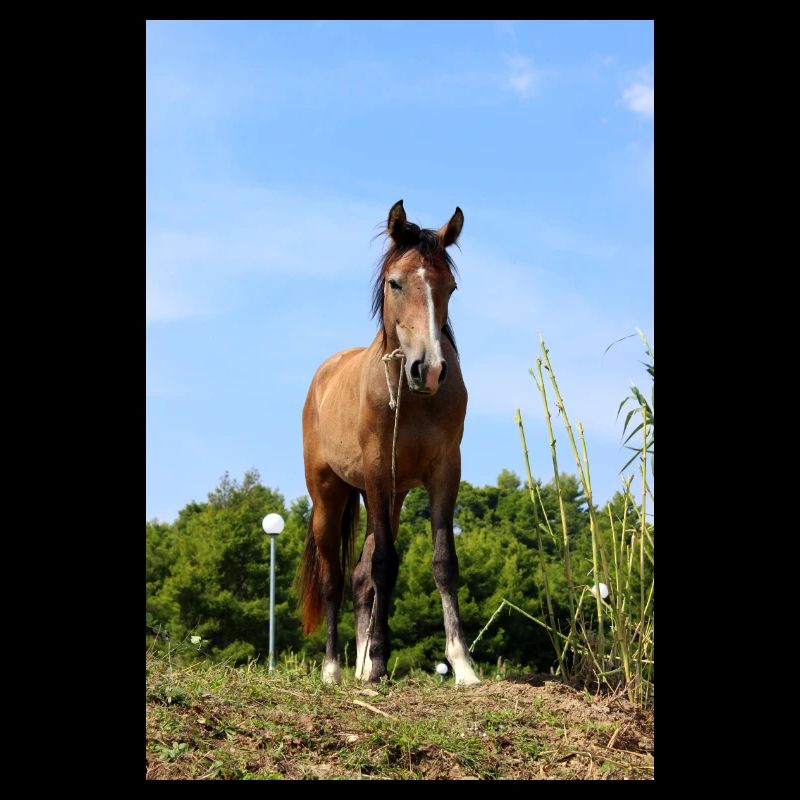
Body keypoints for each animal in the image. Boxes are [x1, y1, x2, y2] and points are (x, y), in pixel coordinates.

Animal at [298, 200, 480, 686]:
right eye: (396, 282)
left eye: (450, 287)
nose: (429, 369)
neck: (412, 399)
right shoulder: (379, 472)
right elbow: (384, 565)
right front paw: (379, 661)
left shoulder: (444, 473)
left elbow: (442, 563)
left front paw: (462, 664)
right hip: (330, 496)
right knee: (335, 579)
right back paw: (333, 669)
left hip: (391, 498)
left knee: (360, 578)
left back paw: (359, 665)